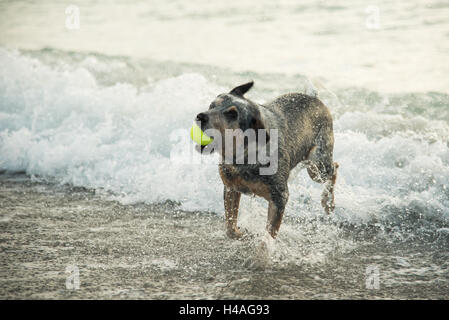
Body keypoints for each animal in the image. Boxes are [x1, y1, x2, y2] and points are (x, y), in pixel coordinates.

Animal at [194, 81, 338, 239]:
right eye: (212, 105)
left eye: (232, 114)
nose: (200, 116)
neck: (245, 157)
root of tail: (314, 97)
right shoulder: (231, 187)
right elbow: (230, 225)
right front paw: (238, 233)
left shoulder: (280, 197)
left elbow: (269, 234)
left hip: (318, 163)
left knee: (334, 169)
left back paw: (328, 202)